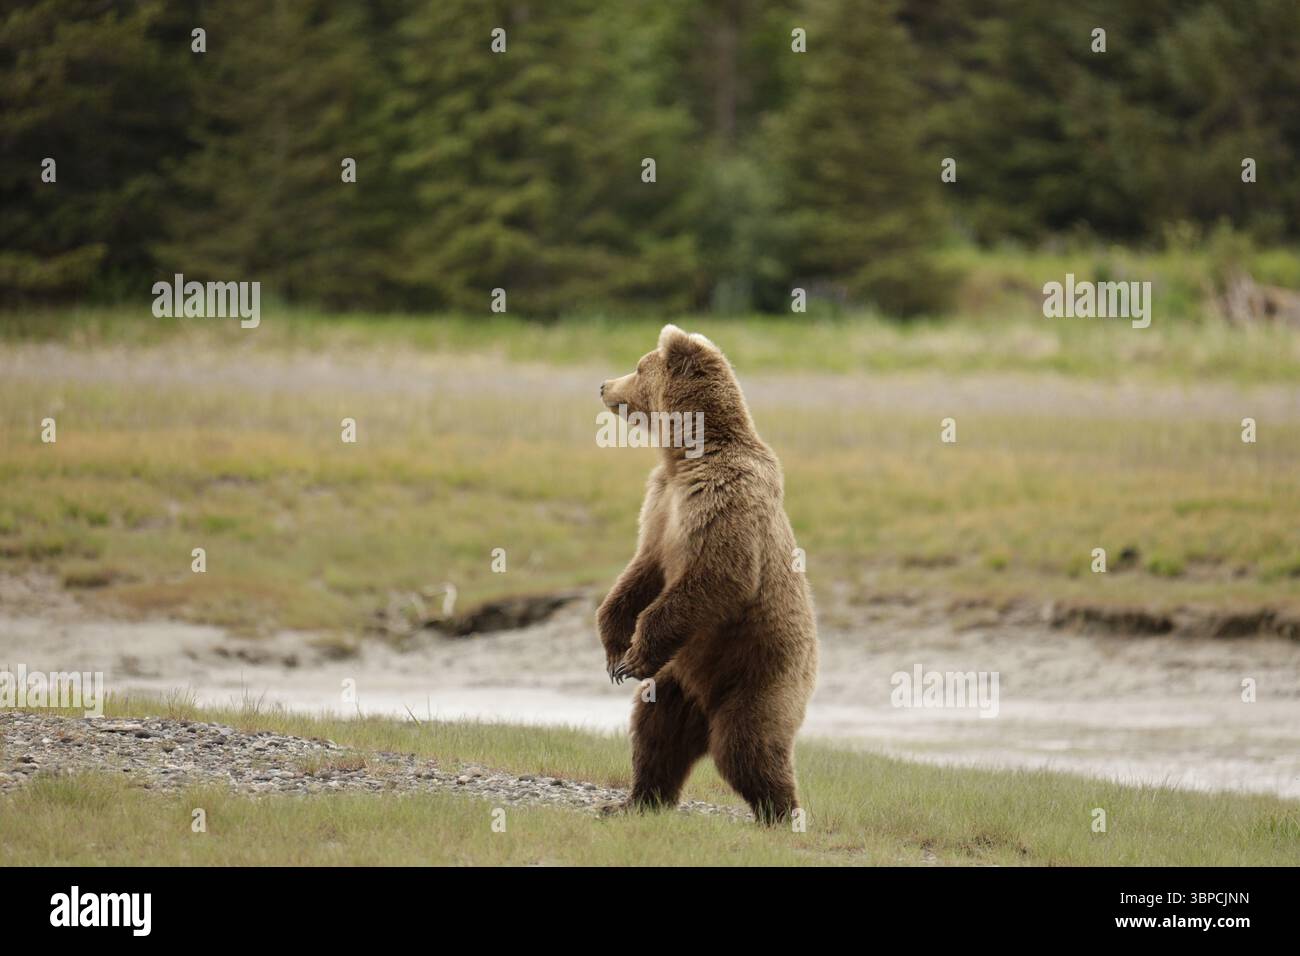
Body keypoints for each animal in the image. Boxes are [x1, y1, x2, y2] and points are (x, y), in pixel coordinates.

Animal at [596, 324, 818, 823]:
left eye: (638, 366)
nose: (603, 385)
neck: (686, 457)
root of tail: (706, 702)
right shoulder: (662, 505)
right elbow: (641, 571)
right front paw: (616, 653)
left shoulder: (723, 500)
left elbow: (717, 577)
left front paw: (635, 654)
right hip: (677, 683)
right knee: (655, 733)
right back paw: (636, 800)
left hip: (763, 674)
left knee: (748, 743)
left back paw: (781, 813)